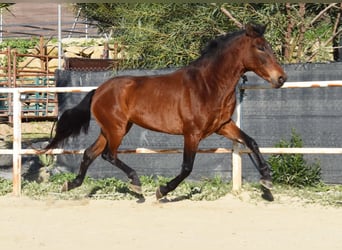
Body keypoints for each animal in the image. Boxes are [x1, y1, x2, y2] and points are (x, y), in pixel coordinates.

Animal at [45, 23, 286, 199]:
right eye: (261, 47)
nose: (281, 78)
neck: (208, 85)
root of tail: (98, 91)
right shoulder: (192, 133)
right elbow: (187, 167)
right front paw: (162, 190)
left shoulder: (223, 126)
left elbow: (251, 141)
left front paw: (267, 180)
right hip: (117, 129)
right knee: (108, 154)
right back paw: (136, 184)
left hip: (112, 129)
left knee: (90, 153)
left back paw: (70, 184)